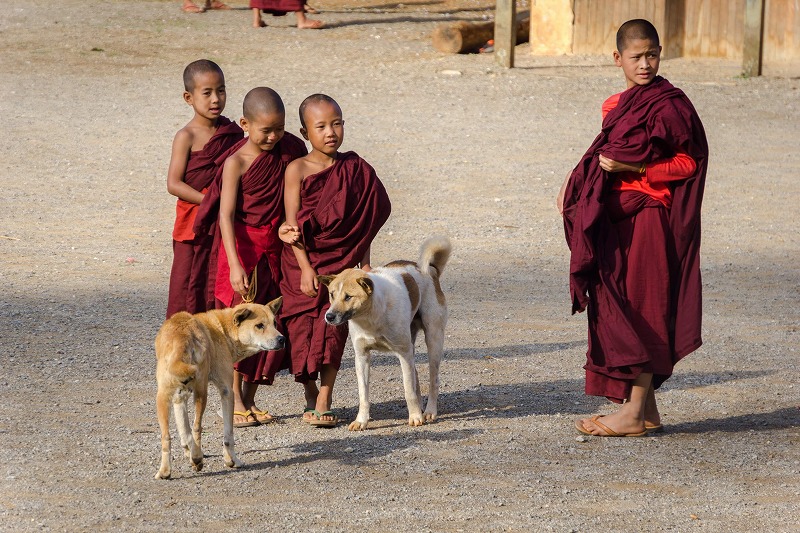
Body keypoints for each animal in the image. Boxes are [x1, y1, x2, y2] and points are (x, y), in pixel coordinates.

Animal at [154, 300, 284, 478]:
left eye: (275, 323)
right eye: (259, 325)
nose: (282, 339)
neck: (223, 330)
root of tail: (181, 337)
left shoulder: (179, 397)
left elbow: (184, 432)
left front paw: (189, 454)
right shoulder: (227, 391)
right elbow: (228, 435)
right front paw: (232, 460)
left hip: (162, 398)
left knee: (166, 437)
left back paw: (166, 470)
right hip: (201, 392)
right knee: (197, 427)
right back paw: (197, 458)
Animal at [318, 235, 450, 430]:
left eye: (348, 296)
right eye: (332, 294)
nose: (329, 316)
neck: (370, 318)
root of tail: (431, 270)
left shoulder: (403, 354)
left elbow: (408, 390)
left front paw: (415, 417)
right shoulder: (362, 357)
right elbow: (363, 395)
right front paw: (361, 421)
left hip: (433, 340)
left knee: (433, 380)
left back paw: (428, 411)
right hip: (412, 345)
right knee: (416, 376)